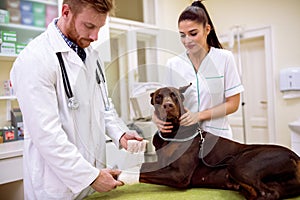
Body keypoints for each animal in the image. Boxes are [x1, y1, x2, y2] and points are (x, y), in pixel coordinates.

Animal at [139, 84, 300, 200]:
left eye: (175, 96)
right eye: (159, 97)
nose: (168, 105)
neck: (171, 133)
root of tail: (295, 156)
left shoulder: (179, 174)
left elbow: (142, 169)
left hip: (239, 163)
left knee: (266, 193)